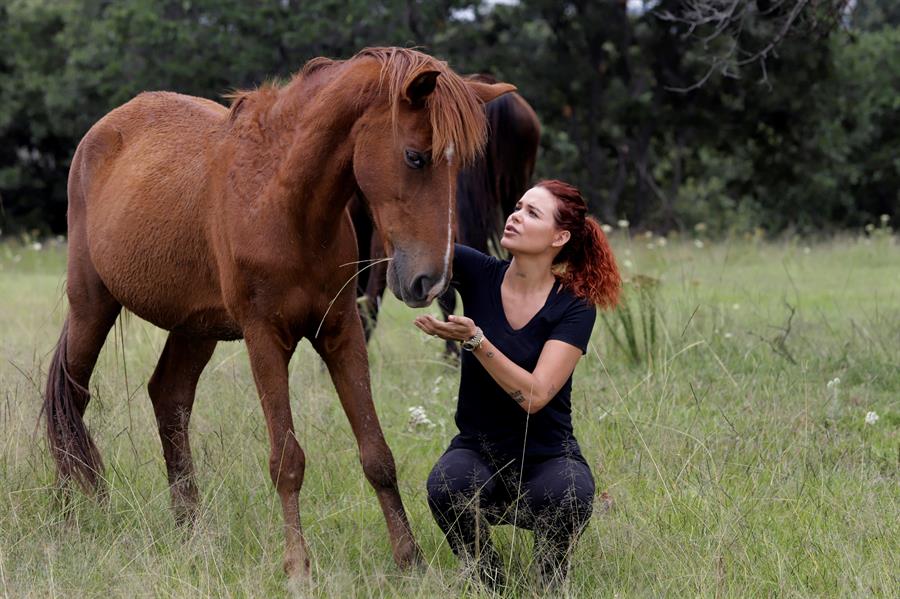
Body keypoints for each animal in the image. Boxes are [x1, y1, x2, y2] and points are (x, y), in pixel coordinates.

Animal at [40, 48, 512, 580]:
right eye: (415, 157)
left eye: (459, 167)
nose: (430, 280)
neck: (283, 202)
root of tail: (101, 131)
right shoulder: (264, 337)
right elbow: (287, 460)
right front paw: (298, 566)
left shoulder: (341, 333)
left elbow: (377, 453)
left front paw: (409, 561)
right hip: (92, 305)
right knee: (70, 402)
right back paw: (69, 520)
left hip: (195, 328)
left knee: (169, 398)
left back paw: (190, 531)